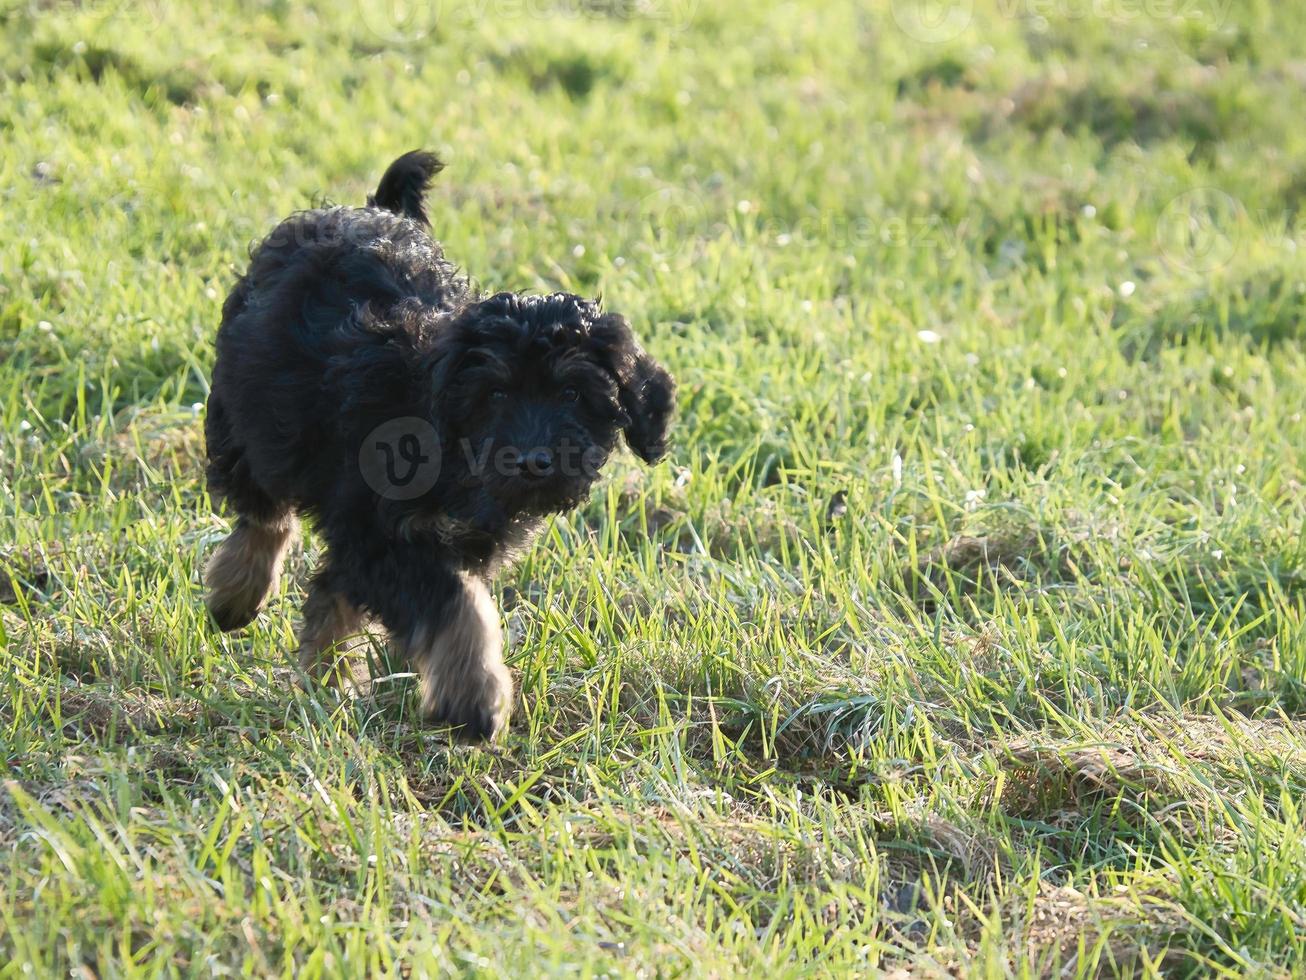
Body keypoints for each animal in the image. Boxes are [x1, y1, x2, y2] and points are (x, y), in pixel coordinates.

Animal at [206, 151, 673, 736]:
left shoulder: (430, 539)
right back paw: (238, 596)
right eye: (494, 393)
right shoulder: (379, 532)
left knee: (327, 582)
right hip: (250, 417)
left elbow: (395, 595)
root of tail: (368, 210)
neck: (453, 454)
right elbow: (457, 605)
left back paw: (325, 674)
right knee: (263, 512)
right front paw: (475, 699)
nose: (533, 462)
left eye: (573, 394)